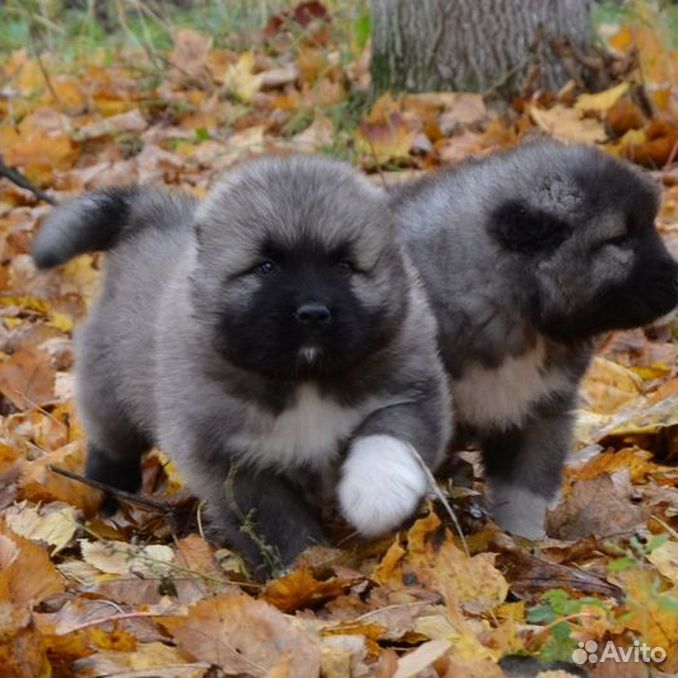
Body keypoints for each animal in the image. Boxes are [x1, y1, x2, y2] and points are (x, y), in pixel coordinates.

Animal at [34, 155, 454, 580]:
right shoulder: (234, 464)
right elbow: (275, 521)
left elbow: (390, 435)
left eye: (344, 265)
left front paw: (376, 495)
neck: (303, 379)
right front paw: (299, 566)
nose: (314, 313)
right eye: (266, 266)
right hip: (109, 386)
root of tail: (153, 217)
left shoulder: (413, 394)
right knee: (110, 442)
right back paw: (109, 496)